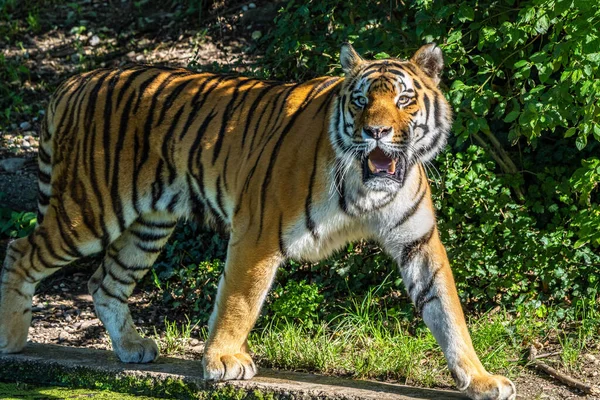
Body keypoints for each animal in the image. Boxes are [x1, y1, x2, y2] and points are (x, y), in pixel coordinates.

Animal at [0, 43, 516, 400]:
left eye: (405, 100)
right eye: (361, 101)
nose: (376, 132)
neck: (366, 189)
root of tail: (74, 81)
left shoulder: (419, 242)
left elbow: (447, 312)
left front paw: (481, 379)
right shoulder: (259, 229)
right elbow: (240, 300)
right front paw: (224, 360)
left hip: (148, 225)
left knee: (104, 281)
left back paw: (131, 347)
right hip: (88, 210)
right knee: (20, 251)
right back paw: (12, 339)